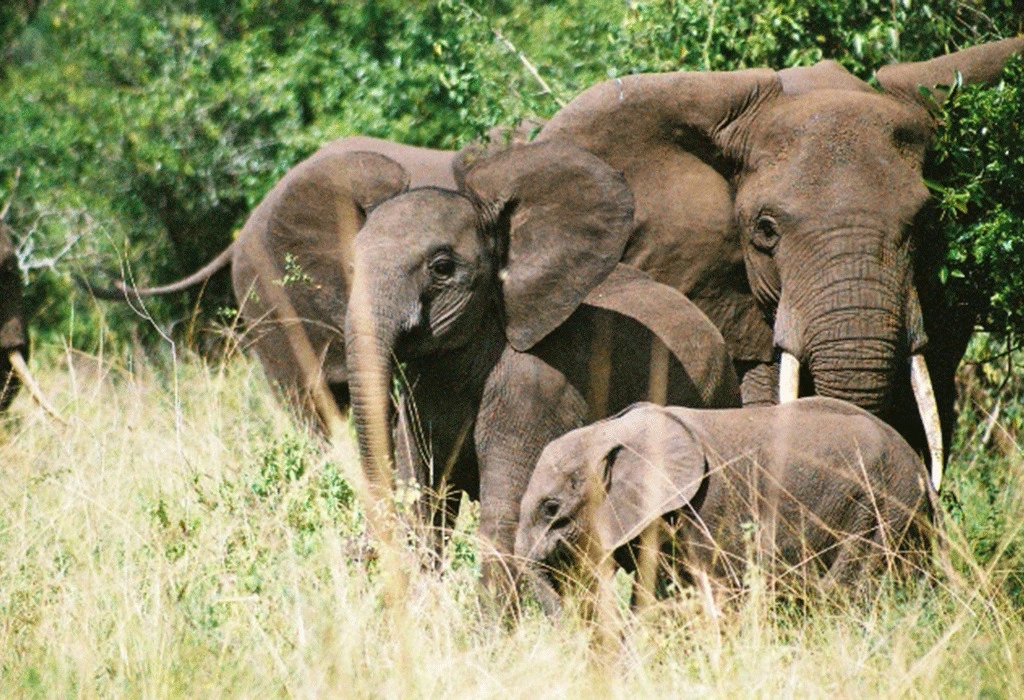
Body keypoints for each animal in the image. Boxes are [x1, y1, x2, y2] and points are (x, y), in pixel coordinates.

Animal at [343, 140, 741, 593]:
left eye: (442, 268)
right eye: (351, 265)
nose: (357, 551)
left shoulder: (535, 394)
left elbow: (503, 518)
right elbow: (424, 501)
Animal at [515, 397, 937, 608]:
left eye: (551, 508)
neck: (613, 431)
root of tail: (919, 465)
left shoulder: (706, 510)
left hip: (884, 506)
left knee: (847, 584)